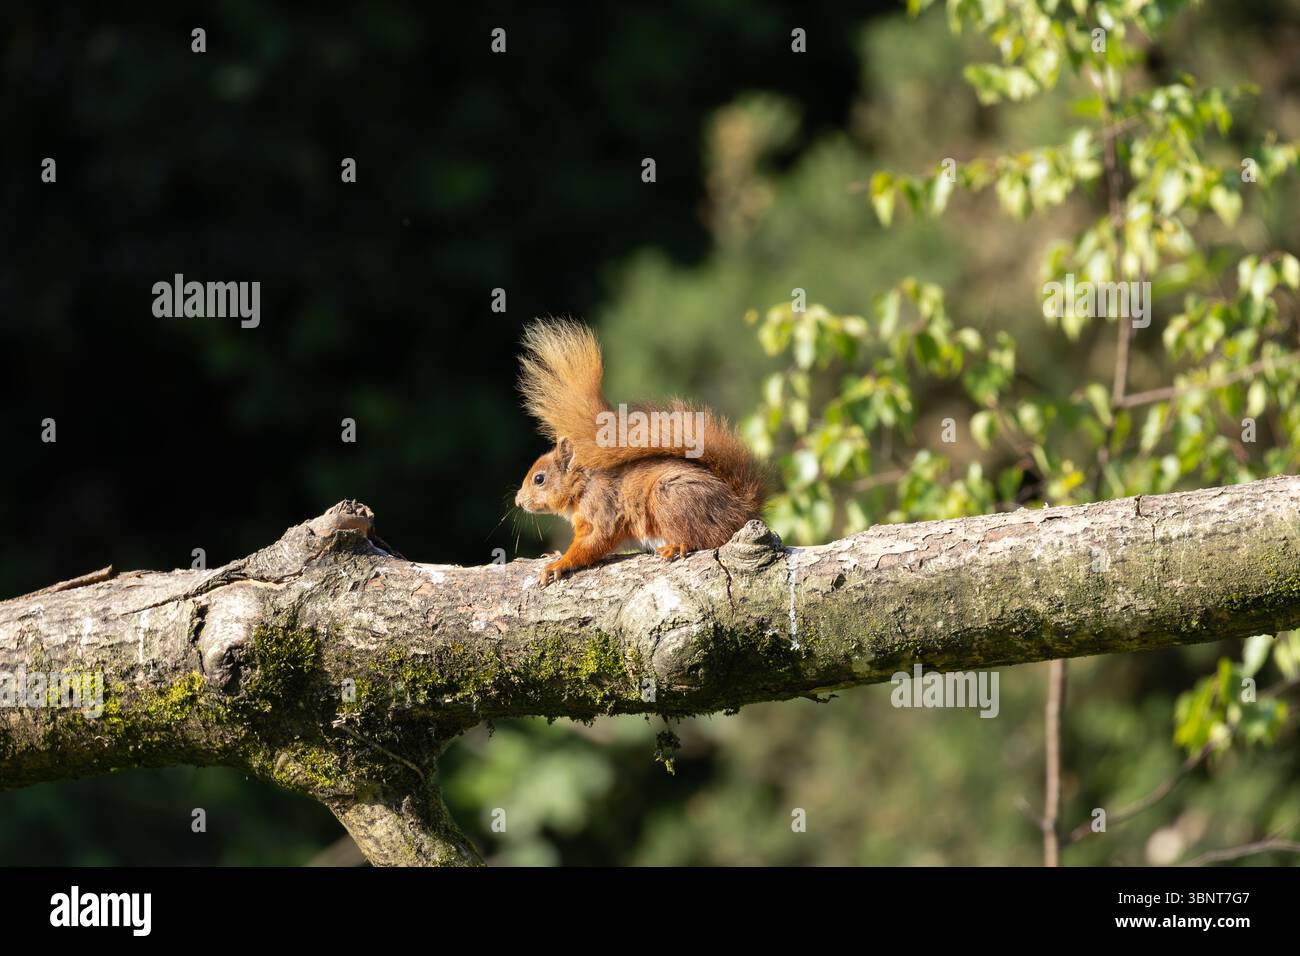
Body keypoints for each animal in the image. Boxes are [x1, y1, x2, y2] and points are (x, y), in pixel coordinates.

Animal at [514, 319, 766, 585]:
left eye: (539, 479)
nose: (518, 501)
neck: (584, 487)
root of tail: (741, 509)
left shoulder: (604, 510)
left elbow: (594, 543)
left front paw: (558, 564)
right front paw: (555, 553)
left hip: (671, 497)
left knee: (709, 537)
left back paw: (677, 546)